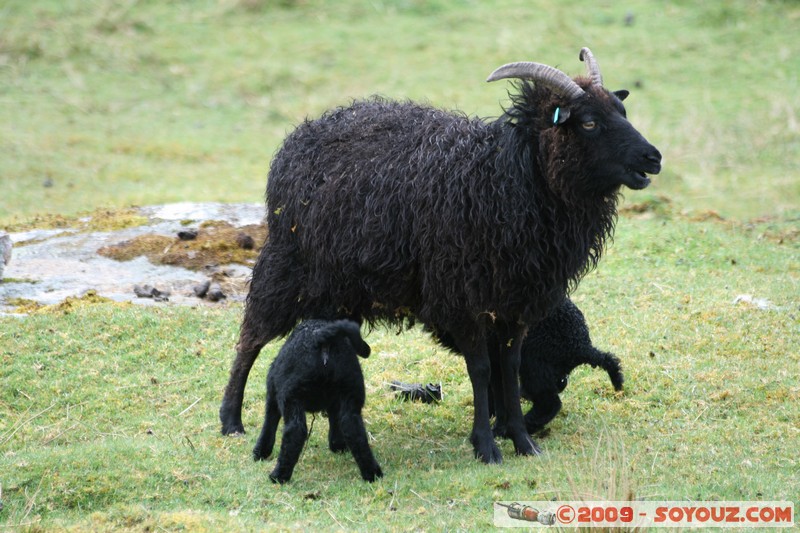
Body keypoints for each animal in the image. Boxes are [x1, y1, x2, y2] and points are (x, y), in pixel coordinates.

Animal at [222, 47, 660, 464]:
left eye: (621, 110)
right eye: (588, 123)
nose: (653, 158)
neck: (509, 176)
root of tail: (300, 135)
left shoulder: (518, 300)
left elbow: (510, 367)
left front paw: (521, 441)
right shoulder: (463, 296)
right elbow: (481, 369)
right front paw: (486, 446)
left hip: (341, 288)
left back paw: (337, 440)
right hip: (287, 266)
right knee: (250, 339)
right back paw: (231, 421)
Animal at [253, 318, 384, 484]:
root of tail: (322, 339)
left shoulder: (273, 394)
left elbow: (269, 423)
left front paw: (260, 452)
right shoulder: (335, 403)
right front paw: (337, 445)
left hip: (290, 395)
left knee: (295, 431)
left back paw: (279, 476)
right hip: (351, 389)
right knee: (353, 429)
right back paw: (372, 473)